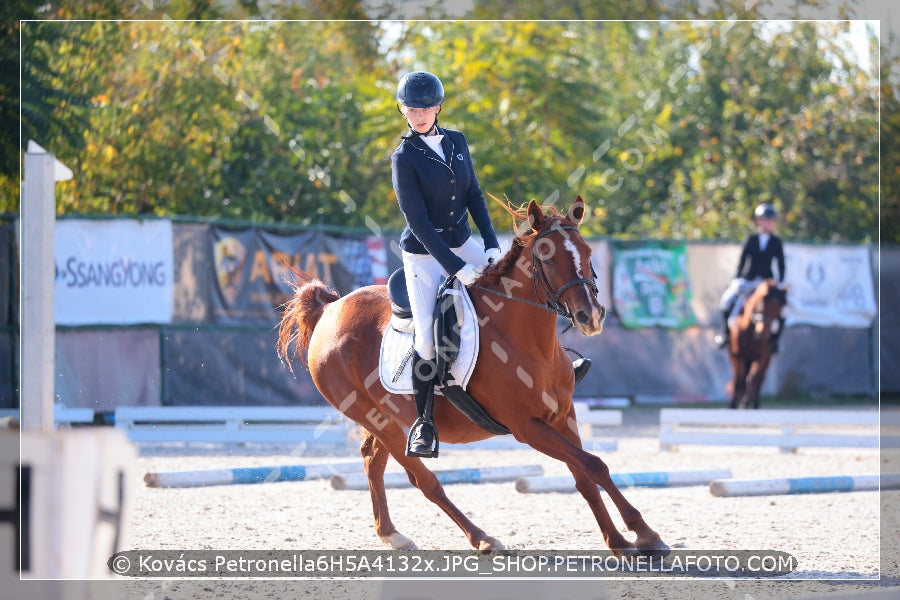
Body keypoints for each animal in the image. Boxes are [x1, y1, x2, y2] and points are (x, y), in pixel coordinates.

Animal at [276, 198, 668, 556]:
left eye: (587, 252)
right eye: (547, 258)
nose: (591, 316)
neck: (524, 338)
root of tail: (332, 309)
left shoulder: (563, 415)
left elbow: (586, 475)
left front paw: (619, 540)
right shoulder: (527, 427)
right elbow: (593, 464)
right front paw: (645, 535)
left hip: (384, 417)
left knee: (373, 459)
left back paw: (392, 535)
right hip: (372, 416)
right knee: (422, 478)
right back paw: (481, 538)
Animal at [728, 278, 792, 410]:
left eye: (778, 309)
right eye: (761, 304)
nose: (762, 334)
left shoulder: (762, 356)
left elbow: (753, 378)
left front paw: (745, 403)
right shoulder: (737, 355)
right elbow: (739, 379)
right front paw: (733, 404)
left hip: (765, 359)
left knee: (759, 380)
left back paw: (755, 403)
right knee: (739, 378)